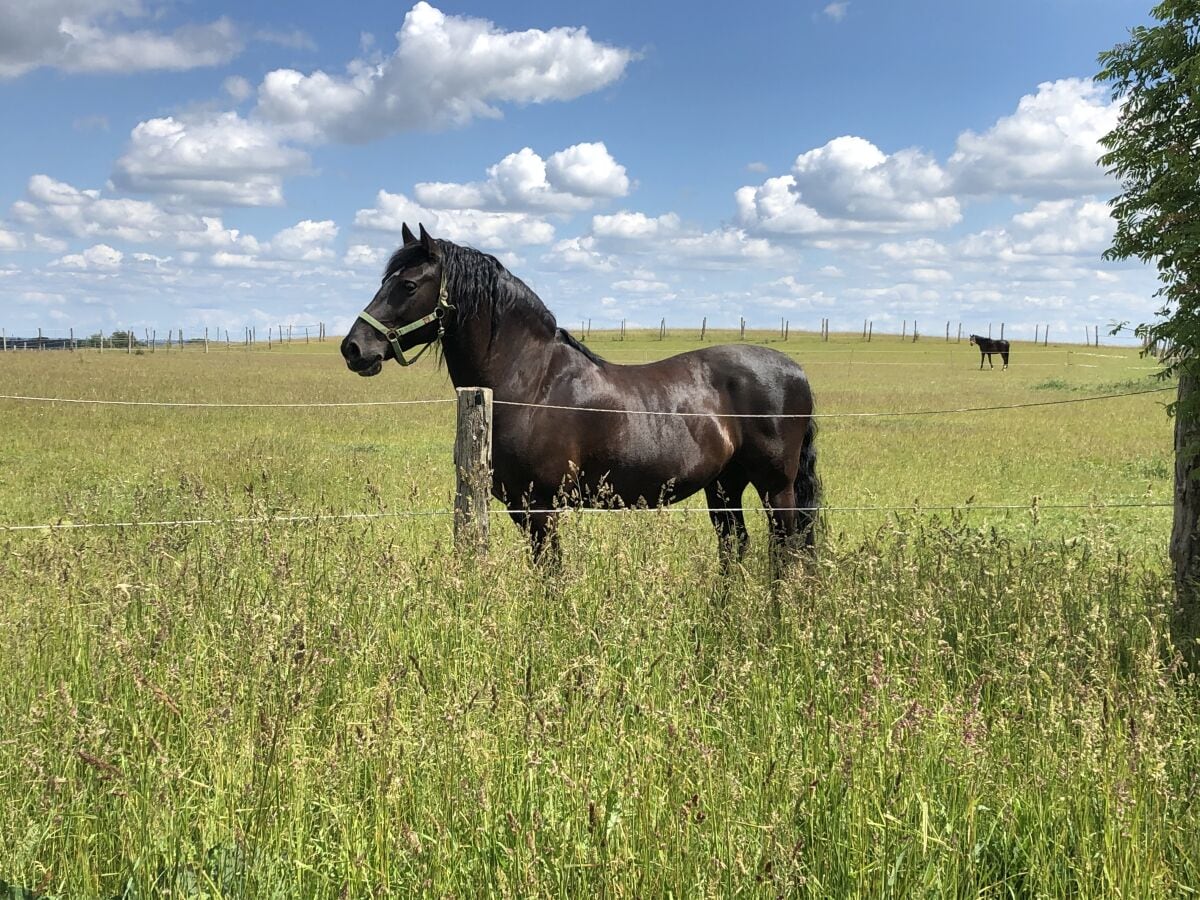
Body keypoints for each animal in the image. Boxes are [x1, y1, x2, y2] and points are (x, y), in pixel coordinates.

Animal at [343, 224, 820, 571]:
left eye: (407, 285)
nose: (353, 348)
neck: (531, 384)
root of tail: (795, 370)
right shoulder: (521, 509)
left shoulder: (541, 508)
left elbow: (550, 575)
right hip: (724, 486)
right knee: (735, 546)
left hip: (776, 487)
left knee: (787, 549)